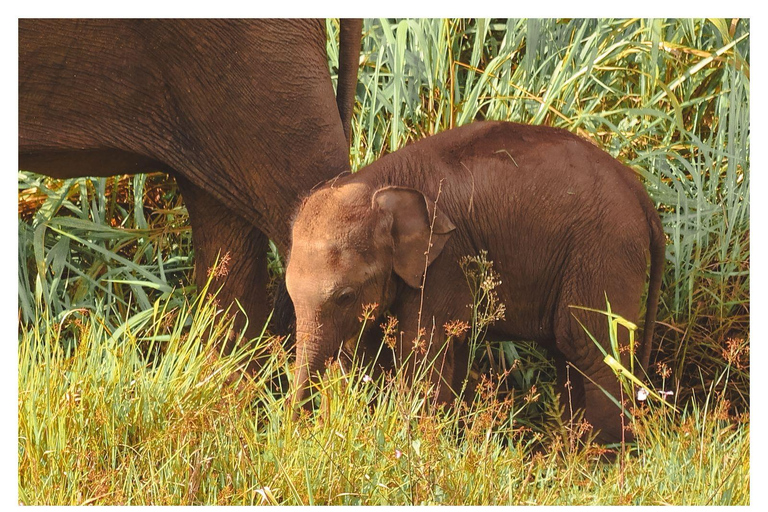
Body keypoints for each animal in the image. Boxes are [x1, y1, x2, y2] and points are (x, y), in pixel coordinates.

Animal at [285, 121, 665, 444]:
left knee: (590, 349)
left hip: (604, 251)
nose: (299, 430)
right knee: (570, 353)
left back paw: (599, 461)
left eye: (346, 296)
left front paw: (423, 440)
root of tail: (640, 191)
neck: (380, 183)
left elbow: (420, 351)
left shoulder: (445, 262)